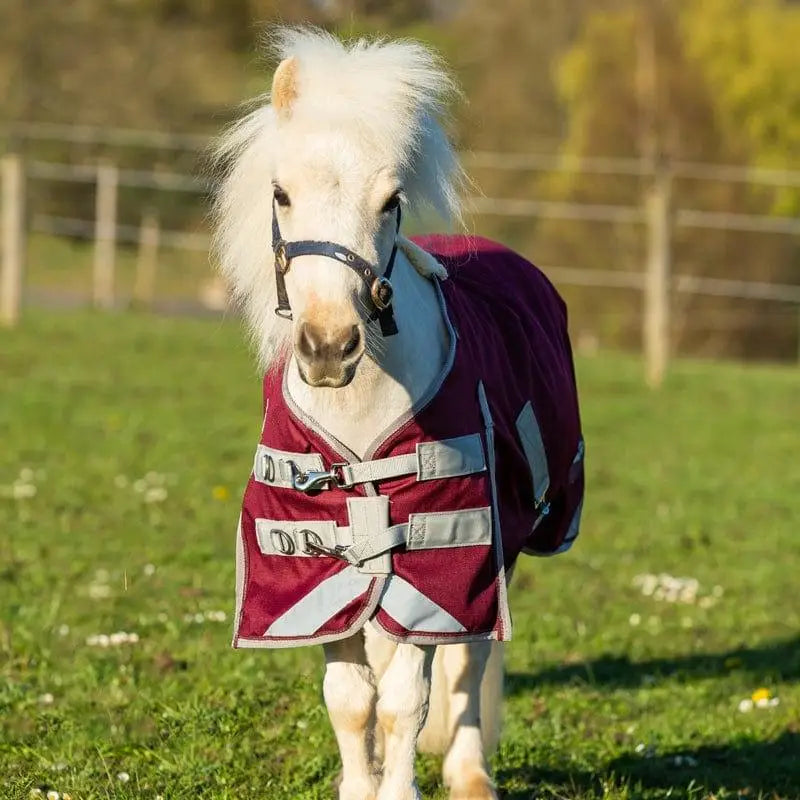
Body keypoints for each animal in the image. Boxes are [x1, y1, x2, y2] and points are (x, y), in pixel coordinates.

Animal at [211, 28, 584, 800]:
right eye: (281, 194)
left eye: (391, 200)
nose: (329, 346)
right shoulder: (316, 574)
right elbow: (352, 700)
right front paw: (362, 785)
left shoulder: (441, 563)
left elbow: (406, 700)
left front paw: (402, 784)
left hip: (499, 553)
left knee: (467, 663)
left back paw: (469, 775)